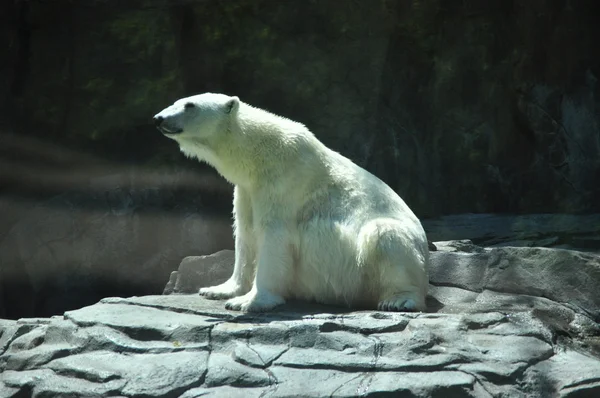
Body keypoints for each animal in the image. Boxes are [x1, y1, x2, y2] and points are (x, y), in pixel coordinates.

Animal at [152, 95, 428, 312]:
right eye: (177, 100)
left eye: (190, 105)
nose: (158, 118)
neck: (258, 155)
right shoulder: (247, 190)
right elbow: (245, 235)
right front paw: (218, 289)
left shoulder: (282, 182)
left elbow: (274, 237)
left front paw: (249, 301)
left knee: (385, 236)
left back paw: (399, 300)